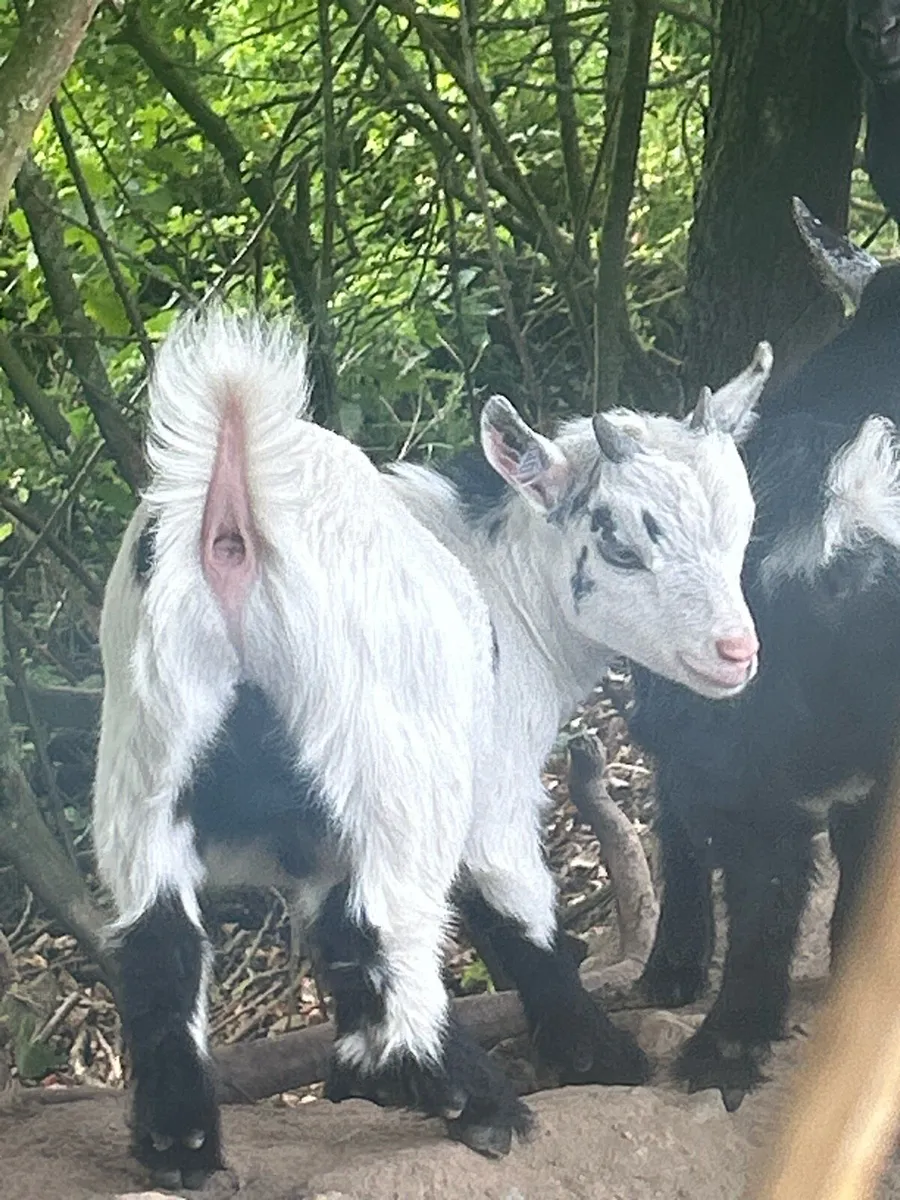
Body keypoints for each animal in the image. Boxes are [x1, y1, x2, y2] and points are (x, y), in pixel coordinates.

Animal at [94, 309, 767, 1189]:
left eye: (743, 521)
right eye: (620, 543)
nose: (736, 652)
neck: (503, 582)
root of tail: (231, 511)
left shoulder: (316, 834)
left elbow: (335, 934)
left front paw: (359, 1071)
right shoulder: (497, 774)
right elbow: (513, 905)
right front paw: (599, 1059)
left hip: (148, 741)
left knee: (157, 932)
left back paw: (182, 1150)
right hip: (396, 752)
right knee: (395, 915)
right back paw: (478, 1103)